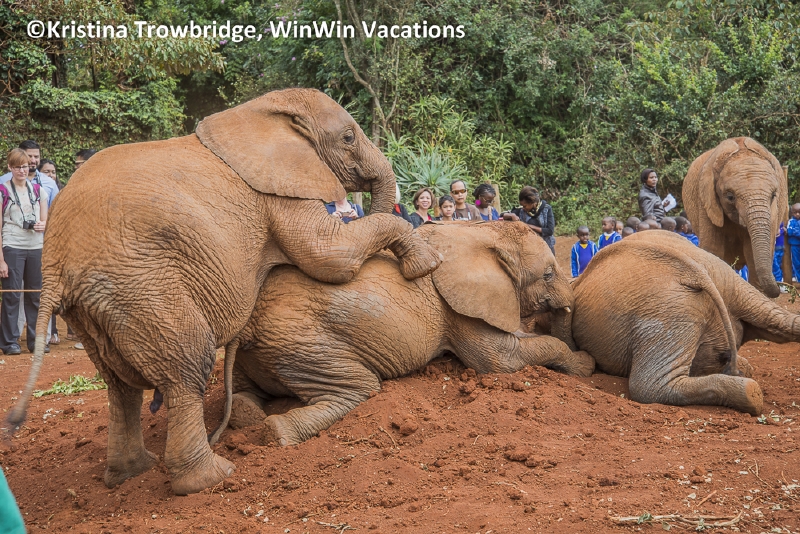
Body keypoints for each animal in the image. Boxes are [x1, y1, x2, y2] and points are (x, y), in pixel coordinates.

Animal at [6, 88, 443, 495]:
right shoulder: (278, 194)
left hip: (99, 304)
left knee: (120, 386)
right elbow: (330, 257)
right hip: (142, 284)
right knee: (187, 365)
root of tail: (56, 265)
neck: (257, 112)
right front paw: (426, 264)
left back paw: (132, 472)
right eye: (349, 137)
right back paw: (210, 477)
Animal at [222, 221, 595, 446]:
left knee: (242, 392)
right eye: (548, 274)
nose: (589, 358)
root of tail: (246, 327)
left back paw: (247, 414)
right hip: (304, 342)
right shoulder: (457, 306)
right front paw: (586, 366)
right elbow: (500, 362)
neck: (478, 232)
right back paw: (277, 433)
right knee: (359, 388)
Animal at [569, 231, 800, 415]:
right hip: (716, 285)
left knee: (647, 387)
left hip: (664, 308)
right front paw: (742, 368)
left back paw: (750, 393)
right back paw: (748, 388)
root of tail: (694, 273)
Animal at [683, 137, 788, 298]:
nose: (778, 289)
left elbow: (752, 255)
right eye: (730, 197)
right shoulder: (706, 201)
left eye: (773, 196)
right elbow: (713, 250)